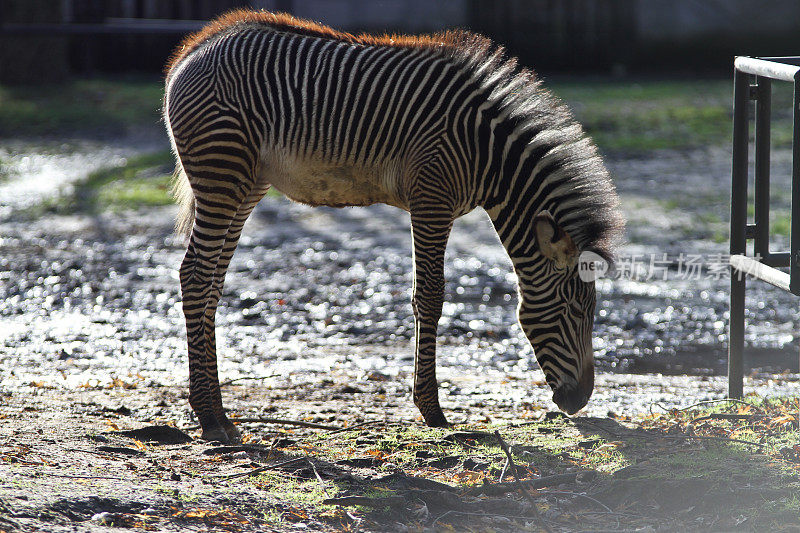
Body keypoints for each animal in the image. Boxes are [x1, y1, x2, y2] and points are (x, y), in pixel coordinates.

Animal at [164, 9, 624, 440]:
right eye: (575, 310)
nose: (580, 400)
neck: (489, 156)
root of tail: (195, 48)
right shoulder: (431, 201)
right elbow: (431, 297)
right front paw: (432, 410)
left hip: (246, 183)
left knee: (212, 282)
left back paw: (220, 414)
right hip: (222, 172)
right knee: (195, 275)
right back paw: (207, 416)